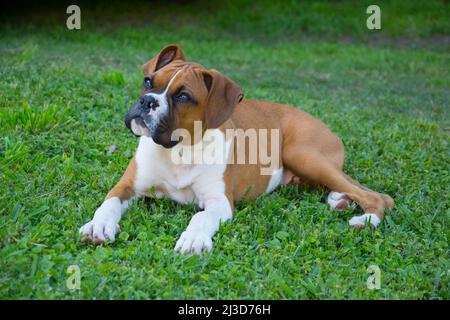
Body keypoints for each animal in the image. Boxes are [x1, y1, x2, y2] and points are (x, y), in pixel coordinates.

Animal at [80, 44, 394, 252]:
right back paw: (339, 200)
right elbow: (107, 204)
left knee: (379, 197)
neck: (179, 149)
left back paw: (364, 218)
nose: (147, 102)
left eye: (183, 97)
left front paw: (193, 238)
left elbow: (201, 216)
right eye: (148, 82)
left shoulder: (220, 202)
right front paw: (99, 225)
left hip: (303, 154)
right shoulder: (127, 186)